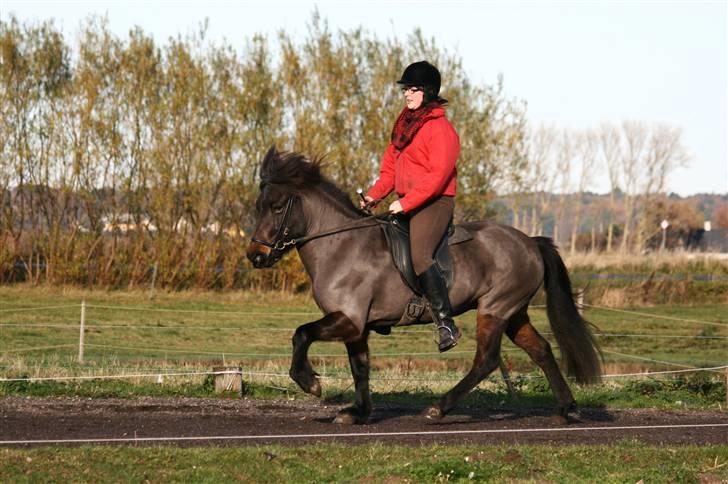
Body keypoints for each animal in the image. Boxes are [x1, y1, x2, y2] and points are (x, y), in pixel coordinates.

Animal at [247, 147, 600, 424]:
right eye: (258, 206)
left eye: (277, 207)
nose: (255, 256)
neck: (342, 245)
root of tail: (530, 242)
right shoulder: (356, 327)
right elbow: (360, 367)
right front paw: (358, 412)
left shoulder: (348, 320)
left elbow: (301, 334)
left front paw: (310, 383)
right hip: (514, 314)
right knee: (541, 350)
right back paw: (566, 408)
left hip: (494, 309)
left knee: (485, 361)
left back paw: (438, 408)